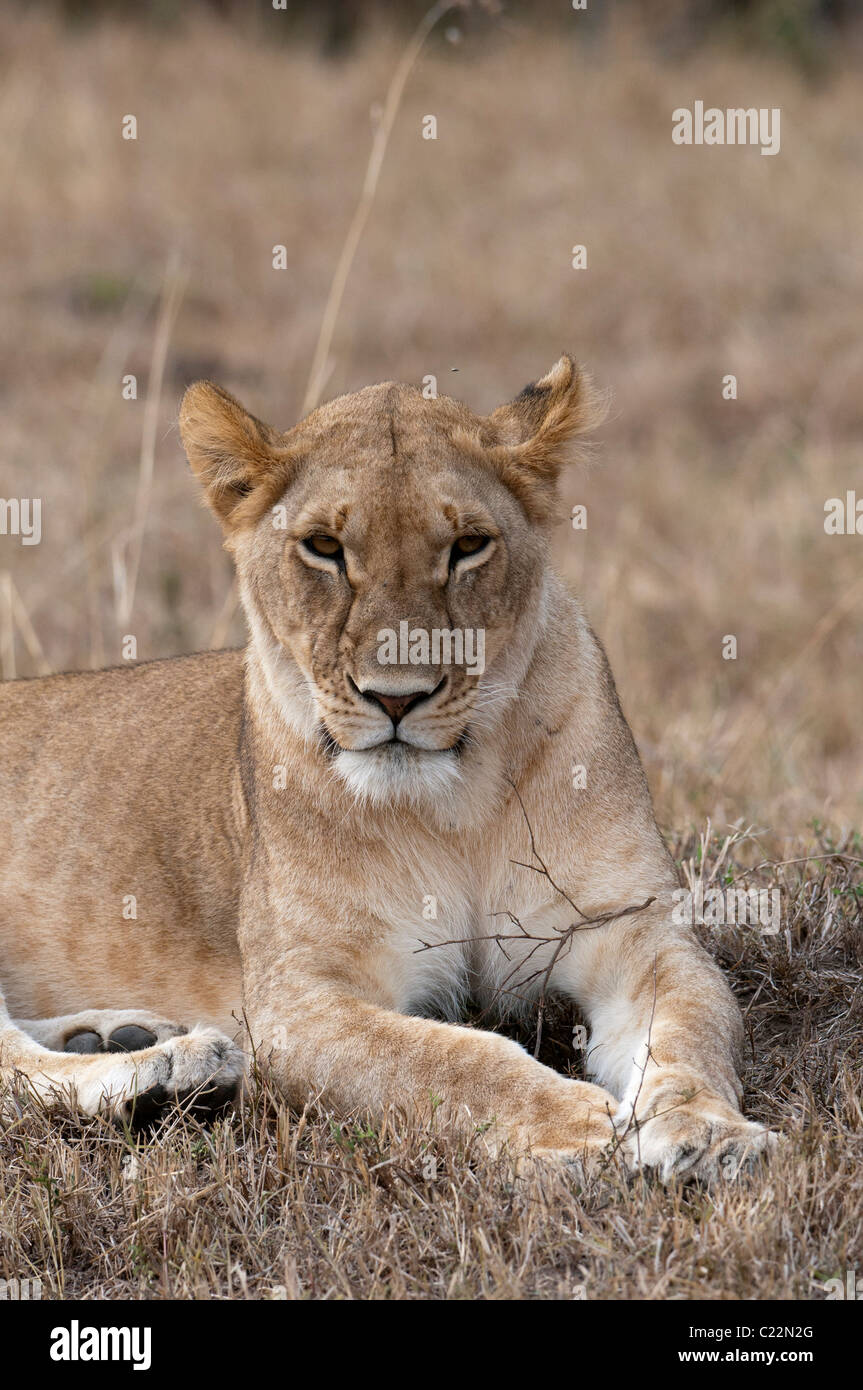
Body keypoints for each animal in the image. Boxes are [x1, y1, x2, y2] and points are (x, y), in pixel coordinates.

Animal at [0, 356, 774, 1179]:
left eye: (468, 545)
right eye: (323, 547)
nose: (396, 697)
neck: (457, 805)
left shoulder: (630, 929)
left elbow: (693, 1030)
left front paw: (710, 1133)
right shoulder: (298, 999)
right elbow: (450, 1058)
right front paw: (575, 1127)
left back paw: (124, 1035)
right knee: (10, 1069)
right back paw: (170, 1070)